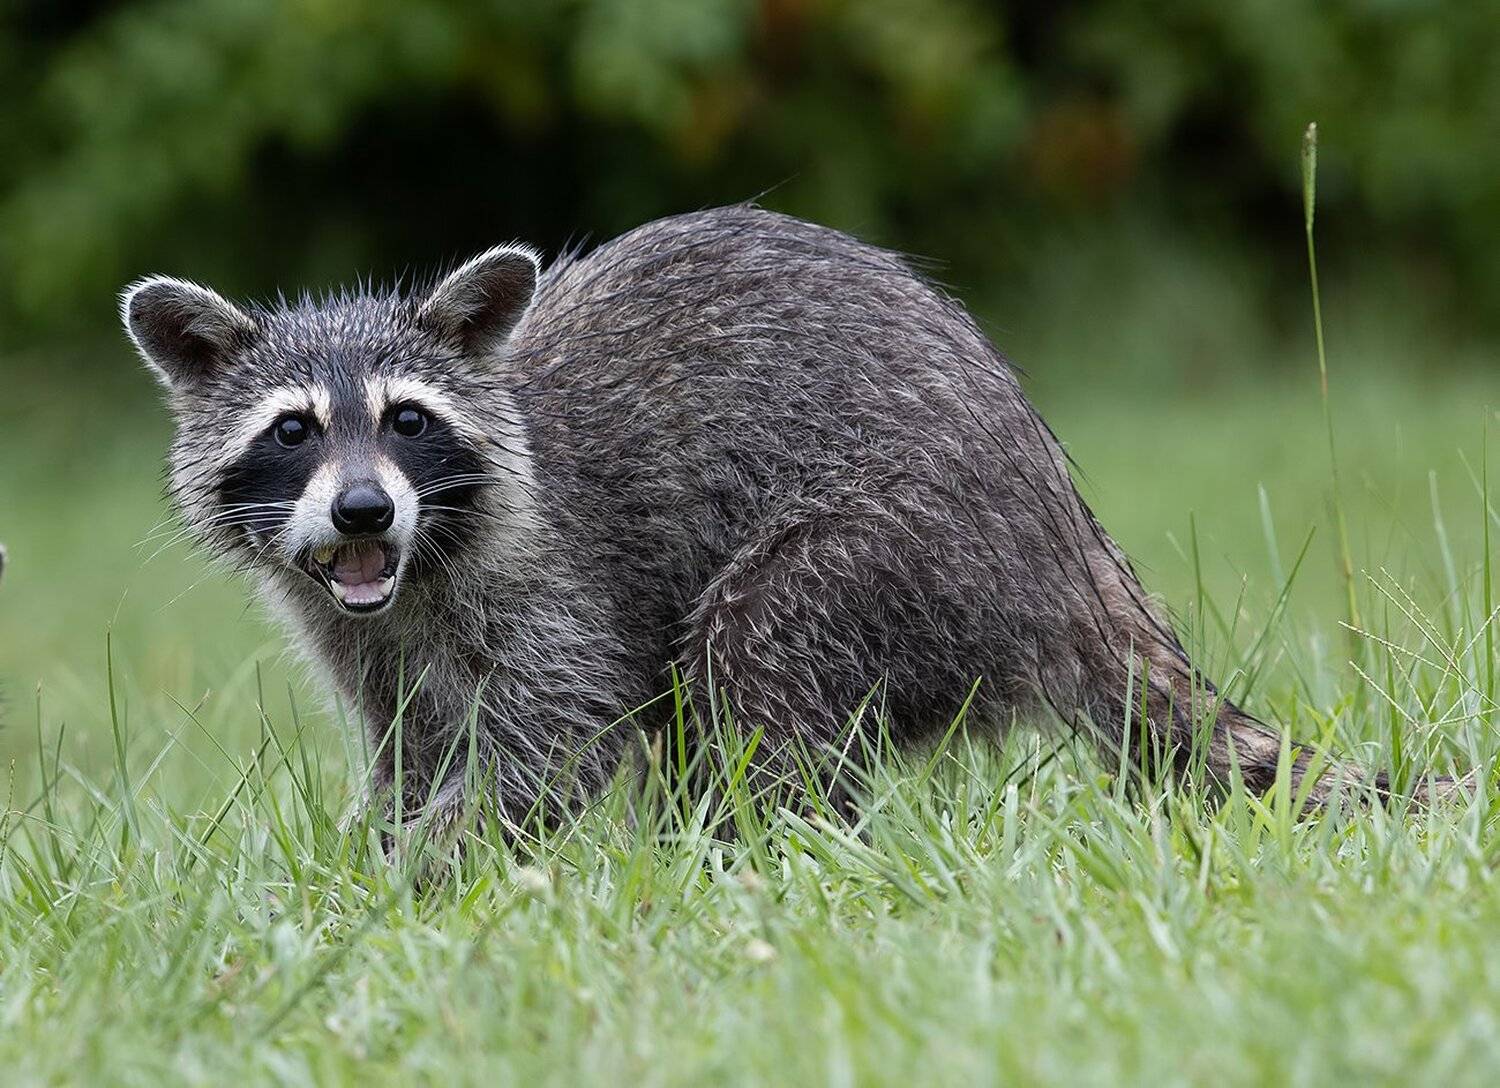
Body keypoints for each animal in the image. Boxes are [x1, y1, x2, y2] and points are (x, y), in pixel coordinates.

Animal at [121, 206, 1405, 829]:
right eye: (293, 429)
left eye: (406, 419)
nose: (362, 506)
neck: (418, 561)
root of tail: (1068, 543)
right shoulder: (366, 631)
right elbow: (411, 741)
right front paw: (384, 853)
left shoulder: (552, 582)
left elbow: (555, 740)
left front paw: (429, 878)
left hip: (910, 545)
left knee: (753, 659)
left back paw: (753, 855)